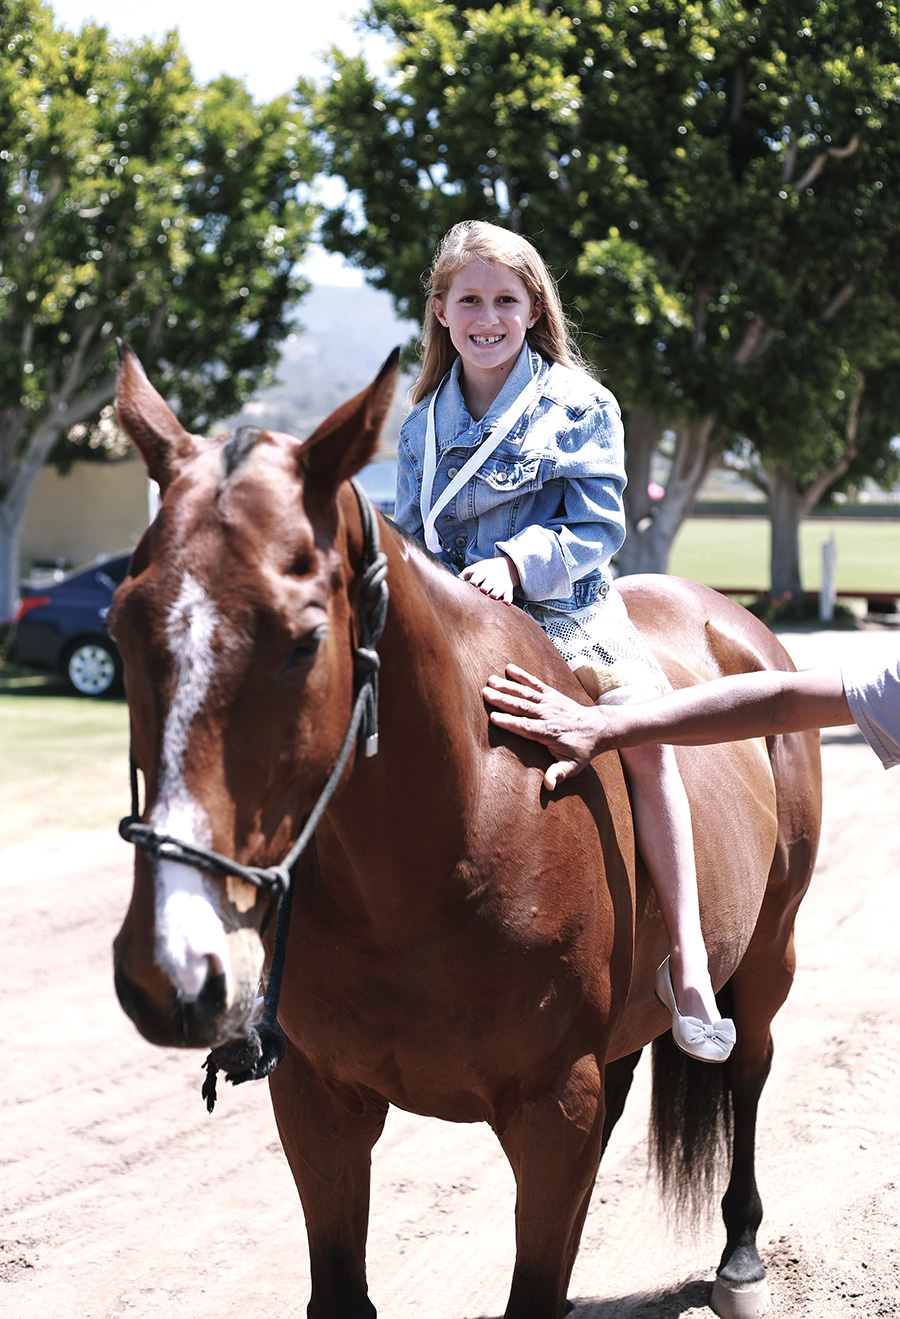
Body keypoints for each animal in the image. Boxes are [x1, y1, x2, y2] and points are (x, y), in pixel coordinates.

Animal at [108, 345, 818, 1319]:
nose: (167, 968)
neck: (435, 858)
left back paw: (741, 1256)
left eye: (304, 639)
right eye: (119, 622)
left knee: (750, 1067)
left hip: (768, 953)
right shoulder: (319, 1101)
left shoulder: (553, 1107)